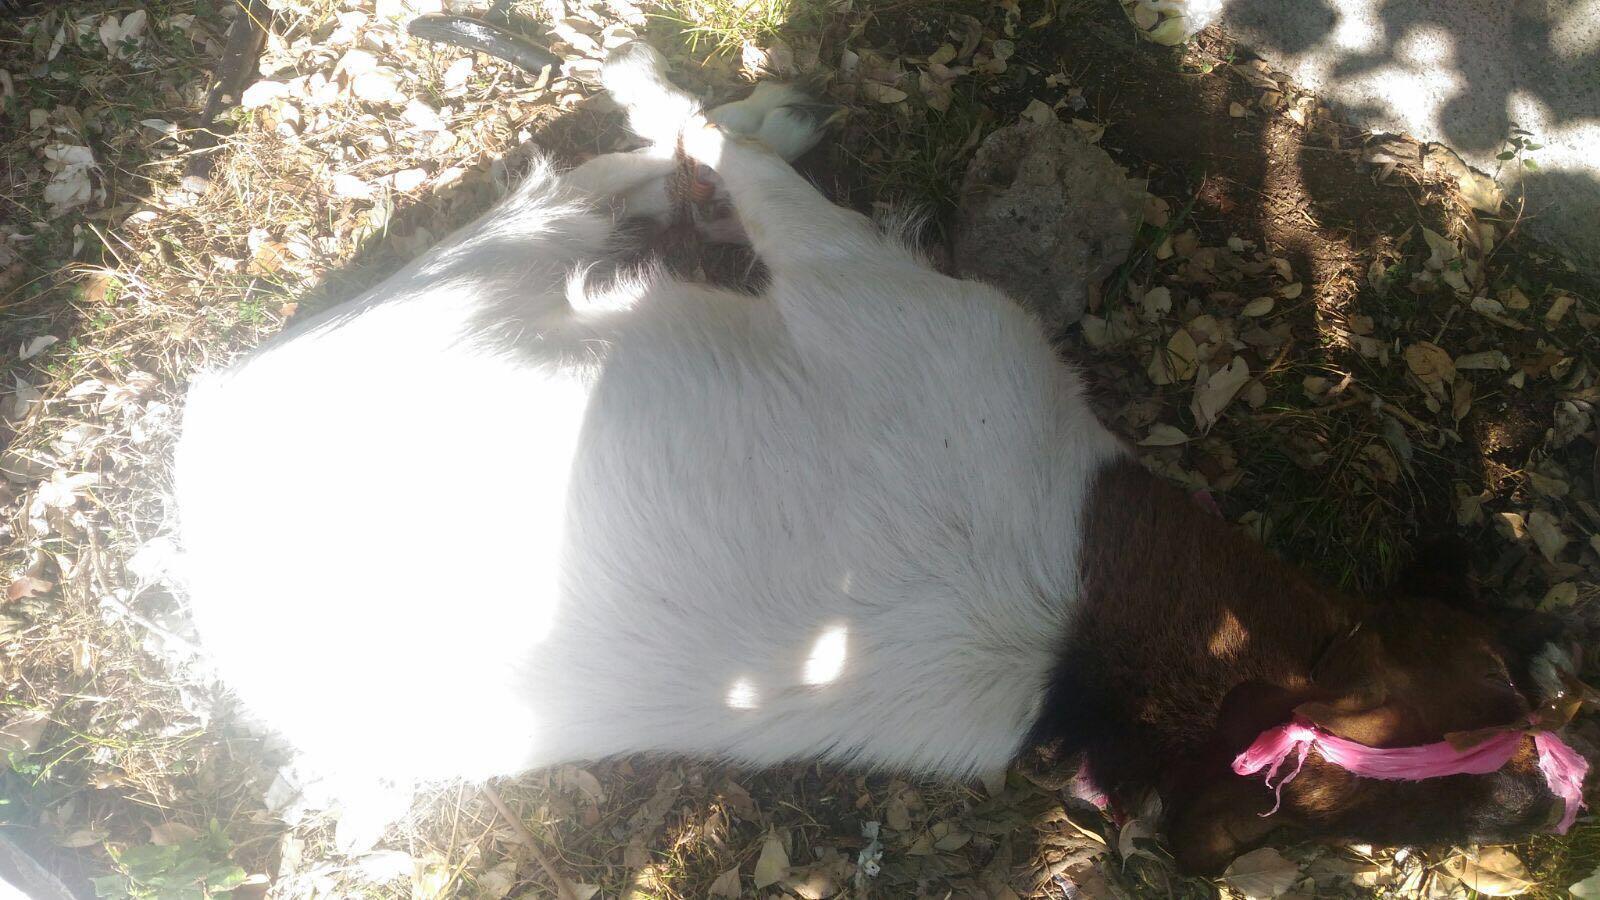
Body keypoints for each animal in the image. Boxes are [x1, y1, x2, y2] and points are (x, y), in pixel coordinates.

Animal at [173, 43, 1589, 872]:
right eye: (1495, 678)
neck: (1103, 647)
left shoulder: (879, 297)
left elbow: (733, 167)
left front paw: (705, 108)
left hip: (463, 281)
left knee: (591, 186)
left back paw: (729, 109)